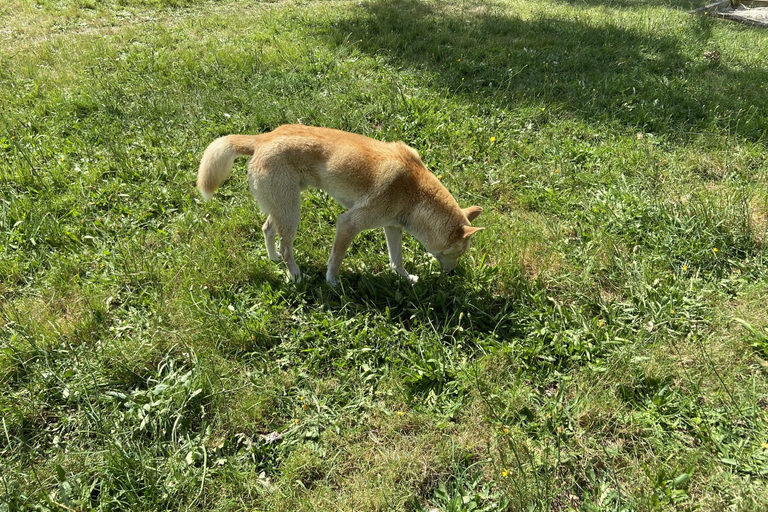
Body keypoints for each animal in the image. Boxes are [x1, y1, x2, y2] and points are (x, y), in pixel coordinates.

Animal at [200, 123, 486, 284]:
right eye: (458, 253)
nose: (452, 275)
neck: (415, 192)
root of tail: (262, 138)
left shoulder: (392, 227)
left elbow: (397, 260)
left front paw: (406, 279)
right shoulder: (348, 224)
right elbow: (336, 259)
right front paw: (332, 283)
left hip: (283, 206)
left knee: (268, 229)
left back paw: (273, 259)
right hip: (292, 211)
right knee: (286, 247)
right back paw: (295, 276)